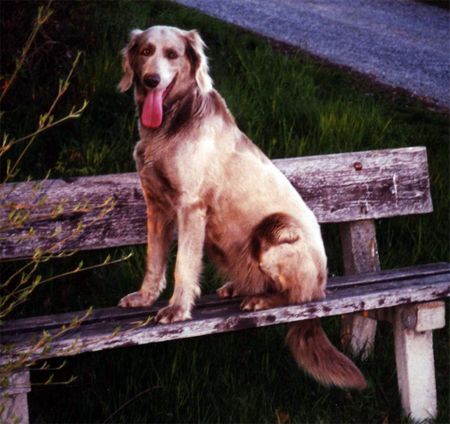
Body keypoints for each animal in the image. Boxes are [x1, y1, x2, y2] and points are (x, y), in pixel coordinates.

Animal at [116, 24, 366, 390]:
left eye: (173, 54)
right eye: (146, 51)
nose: (151, 81)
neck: (171, 123)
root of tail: (324, 282)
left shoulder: (190, 207)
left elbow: (183, 266)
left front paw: (177, 309)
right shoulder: (157, 205)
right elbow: (154, 261)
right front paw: (144, 297)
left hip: (275, 230)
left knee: (300, 296)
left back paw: (262, 299)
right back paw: (240, 287)